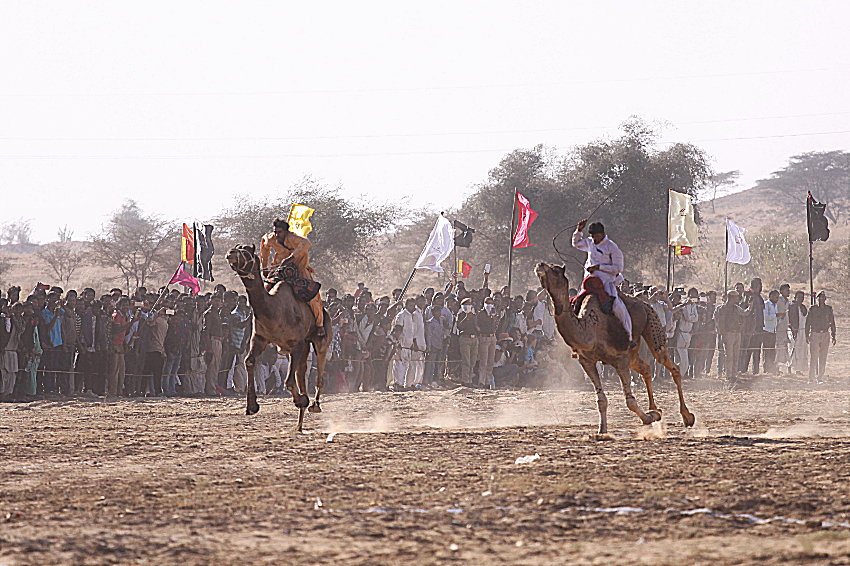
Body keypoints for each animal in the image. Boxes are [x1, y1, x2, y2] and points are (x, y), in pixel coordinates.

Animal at [225, 244, 332, 434]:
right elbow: (249, 361)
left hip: (321, 338)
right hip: (305, 346)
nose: (231, 253)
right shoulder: (259, 338)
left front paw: (301, 400)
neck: (273, 310)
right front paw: (251, 406)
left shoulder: (296, 344)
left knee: (319, 370)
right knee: (302, 372)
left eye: (247, 252)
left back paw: (314, 405)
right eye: (238, 247)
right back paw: (299, 425)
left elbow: (288, 382)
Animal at [536, 264, 696, 438]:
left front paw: (649, 418)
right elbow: (601, 400)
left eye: (555, 270)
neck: (591, 328)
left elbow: (630, 401)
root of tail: (644, 303)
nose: (540, 265)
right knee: (646, 368)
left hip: (652, 325)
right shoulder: (587, 361)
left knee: (671, 365)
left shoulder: (620, 359)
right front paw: (602, 430)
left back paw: (687, 416)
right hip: (633, 352)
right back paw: (655, 408)